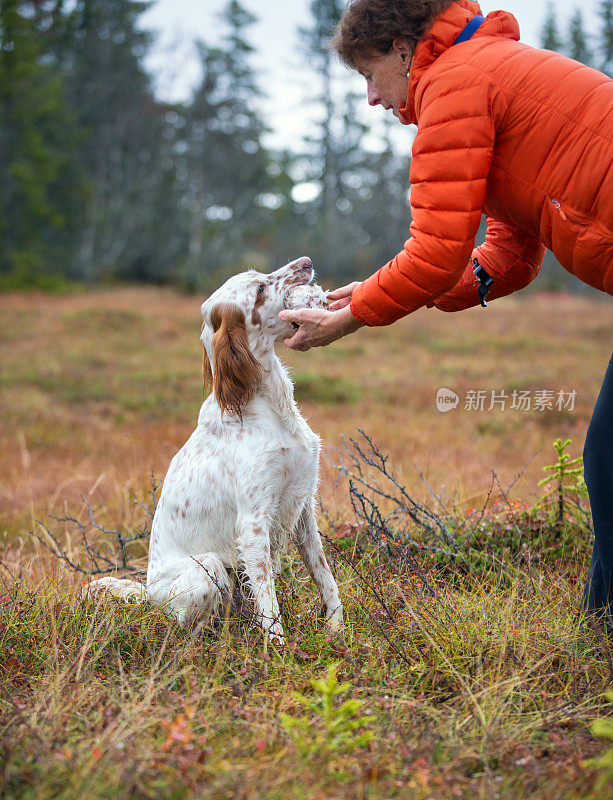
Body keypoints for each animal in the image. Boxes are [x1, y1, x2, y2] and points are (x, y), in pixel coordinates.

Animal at [85, 260, 344, 648]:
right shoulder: (253, 523)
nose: (306, 262)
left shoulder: (302, 507)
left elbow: (324, 576)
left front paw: (336, 629)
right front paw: (278, 651)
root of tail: (148, 593)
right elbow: (268, 600)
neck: (267, 403)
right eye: (260, 290)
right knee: (184, 625)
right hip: (207, 566)